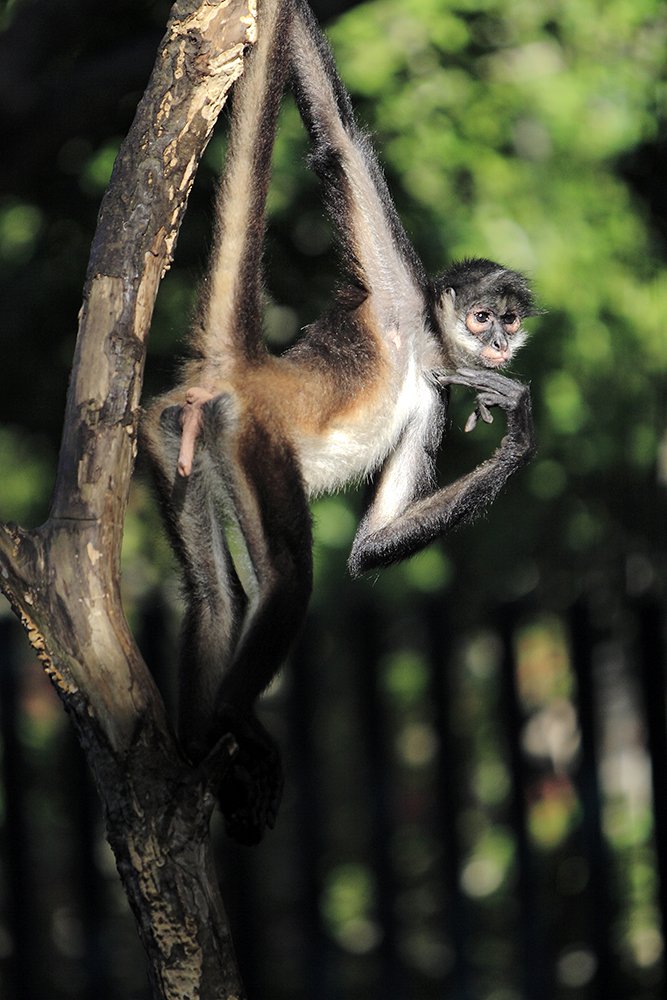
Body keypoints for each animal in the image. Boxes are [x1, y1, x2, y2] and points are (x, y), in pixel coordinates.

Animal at [142, 0, 538, 843]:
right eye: (483, 315)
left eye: (511, 321)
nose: (497, 342)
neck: (423, 344)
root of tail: (246, 371)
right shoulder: (396, 294)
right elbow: (338, 136)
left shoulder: (434, 393)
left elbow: (370, 547)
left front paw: (517, 424)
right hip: (253, 439)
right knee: (288, 576)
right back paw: (234, 718)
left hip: (174, 435)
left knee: (215, 599)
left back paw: (198, 750)